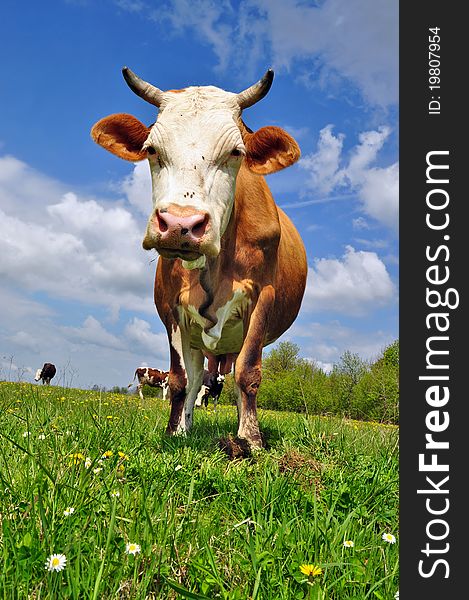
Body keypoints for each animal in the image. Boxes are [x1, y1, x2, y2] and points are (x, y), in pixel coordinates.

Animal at [91, 68, 308, 448]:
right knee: (196, 379)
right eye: (151, 149)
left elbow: (248, 373)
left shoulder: (262, 297)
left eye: (236, 152)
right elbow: (181, 379)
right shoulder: (172, 308)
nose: (180, 224)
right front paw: (176, 431)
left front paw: (251, 440)